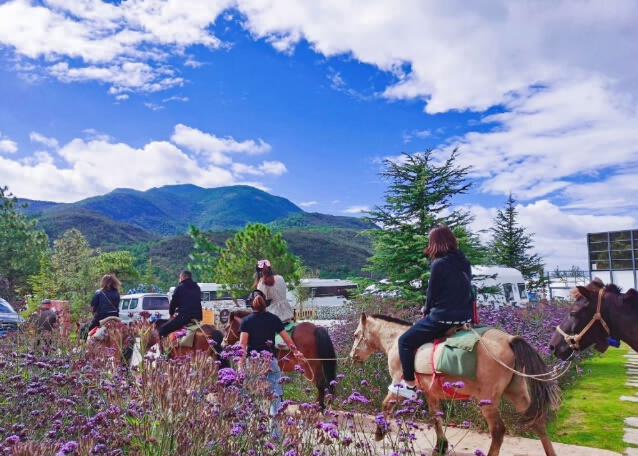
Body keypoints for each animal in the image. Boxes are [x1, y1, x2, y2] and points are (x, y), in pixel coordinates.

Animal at [350, 314, 560, 456]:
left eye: (356, 334)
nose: (353, 356)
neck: (396, 341)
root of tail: (509, 340)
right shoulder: (431, 393)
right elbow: (436, 417)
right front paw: (441, 446)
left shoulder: (398, 385)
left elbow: (386, 405)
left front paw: (379, 432)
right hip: (517, 392)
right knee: (538, 423)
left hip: (488, 399)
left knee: (498, 430)